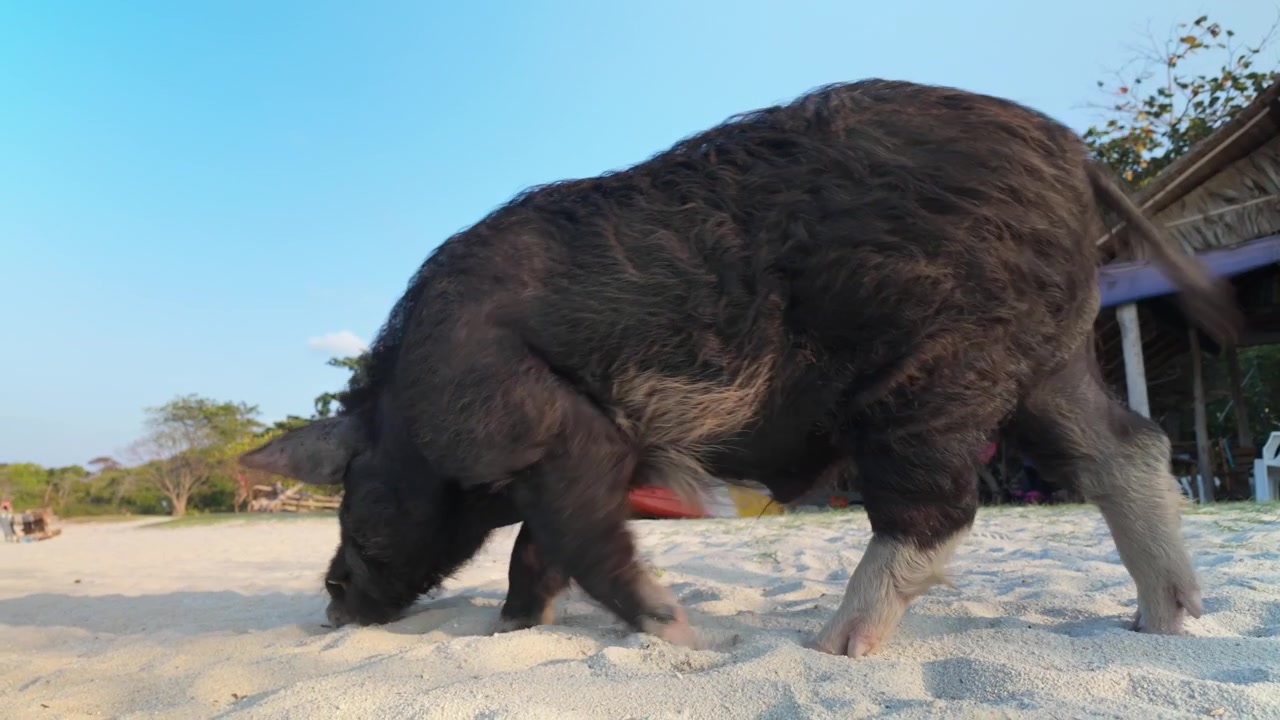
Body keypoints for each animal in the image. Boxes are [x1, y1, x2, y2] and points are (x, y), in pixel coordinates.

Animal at [239, 78, 1240, 658]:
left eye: (353, 495)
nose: (330, 604)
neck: (409, 404)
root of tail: (1072, 151)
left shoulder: (549, 425)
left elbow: (570, 537)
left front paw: (678, 631)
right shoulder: (604, 459)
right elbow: (539, 549)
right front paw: (513, 630)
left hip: (943, 362)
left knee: (940, 509)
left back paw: (833, 645)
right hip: (1047, 356)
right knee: (1128, 449)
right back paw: (1163, 622)